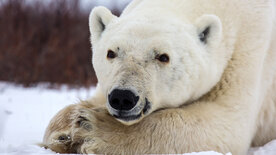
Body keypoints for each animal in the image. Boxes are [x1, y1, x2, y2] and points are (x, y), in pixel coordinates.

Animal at [41, 0, 276, 154]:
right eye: (111, 53)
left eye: (163, 57)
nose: (122, 97)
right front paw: (64, 130)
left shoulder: (248, 50)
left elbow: (227, 123)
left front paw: (92, 129)